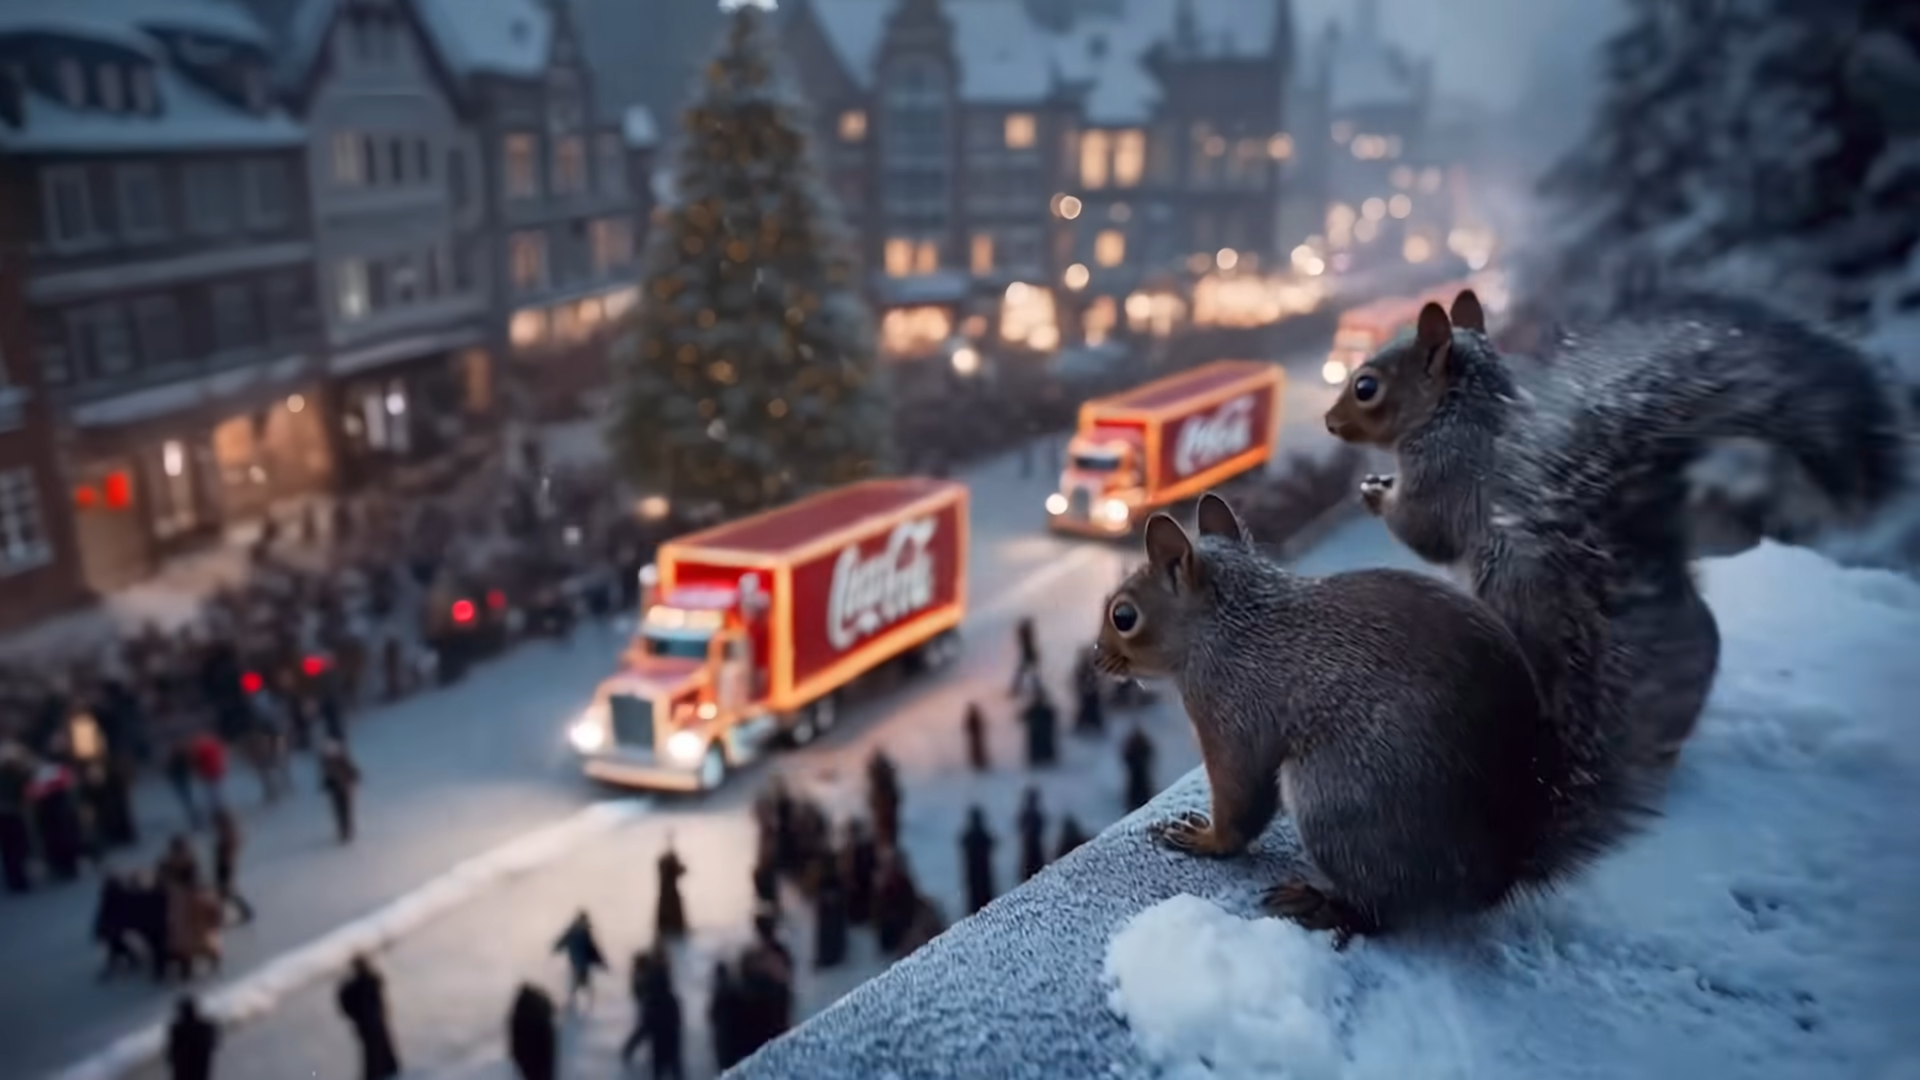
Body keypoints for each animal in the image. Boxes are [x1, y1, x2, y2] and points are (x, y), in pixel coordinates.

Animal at [1092, 493, 1647, 947]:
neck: (1229, 625)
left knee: (1383, 910)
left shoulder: (1229, 714)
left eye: (1124, 616)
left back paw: (1326, 906)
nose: (1097, 656)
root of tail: (1497, 872)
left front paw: (1206, 839)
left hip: (1338, 797)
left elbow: (1240, 800)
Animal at [1324, 290, 1910, 768]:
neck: (1458, 408)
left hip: (1513, 594)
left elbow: (1426, 529)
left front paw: (1378, 493)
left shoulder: (1447, 469)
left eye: (1366, 386)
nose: (1330, 423)